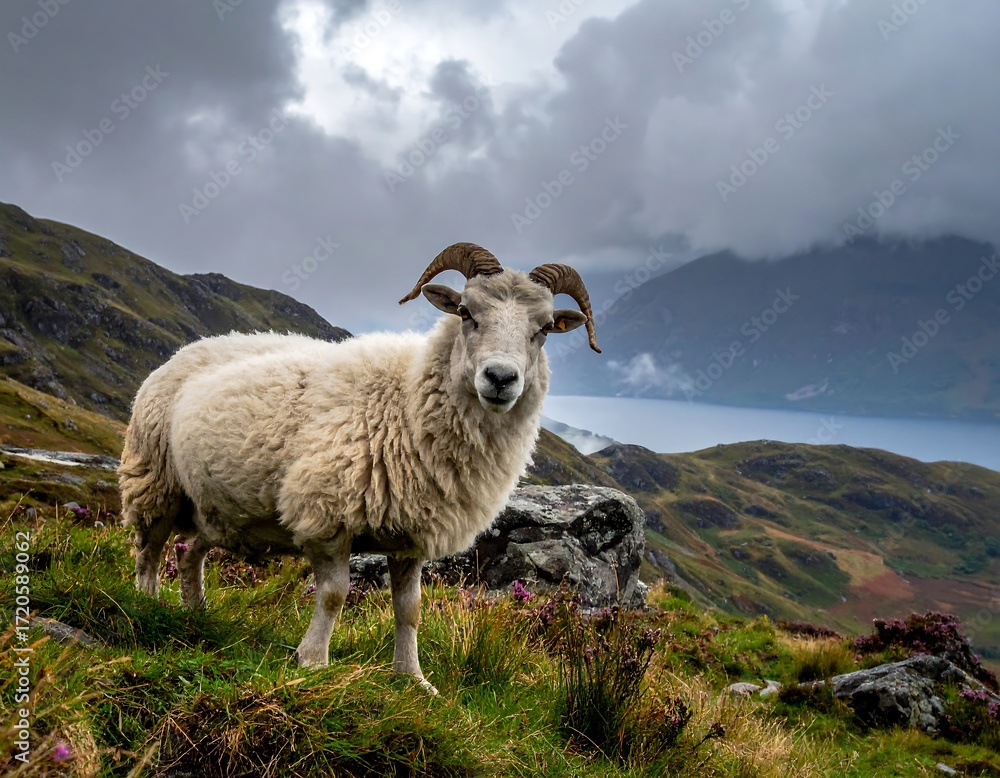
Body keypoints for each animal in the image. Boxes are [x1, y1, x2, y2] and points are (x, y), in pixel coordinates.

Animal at [118, 242, 600, 689]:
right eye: (466, 312)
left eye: (544, 329)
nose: (500, 378)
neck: (406, 398)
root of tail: (187, 349)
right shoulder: (327, 516)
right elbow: (334, 595)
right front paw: (313, 661)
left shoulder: (412, 536)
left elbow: (410, 611)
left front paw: (414, 678)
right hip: (154, 482)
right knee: (149, 552)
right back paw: (147, 606)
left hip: (219, 510)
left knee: (187, 552)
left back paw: (197, 613)